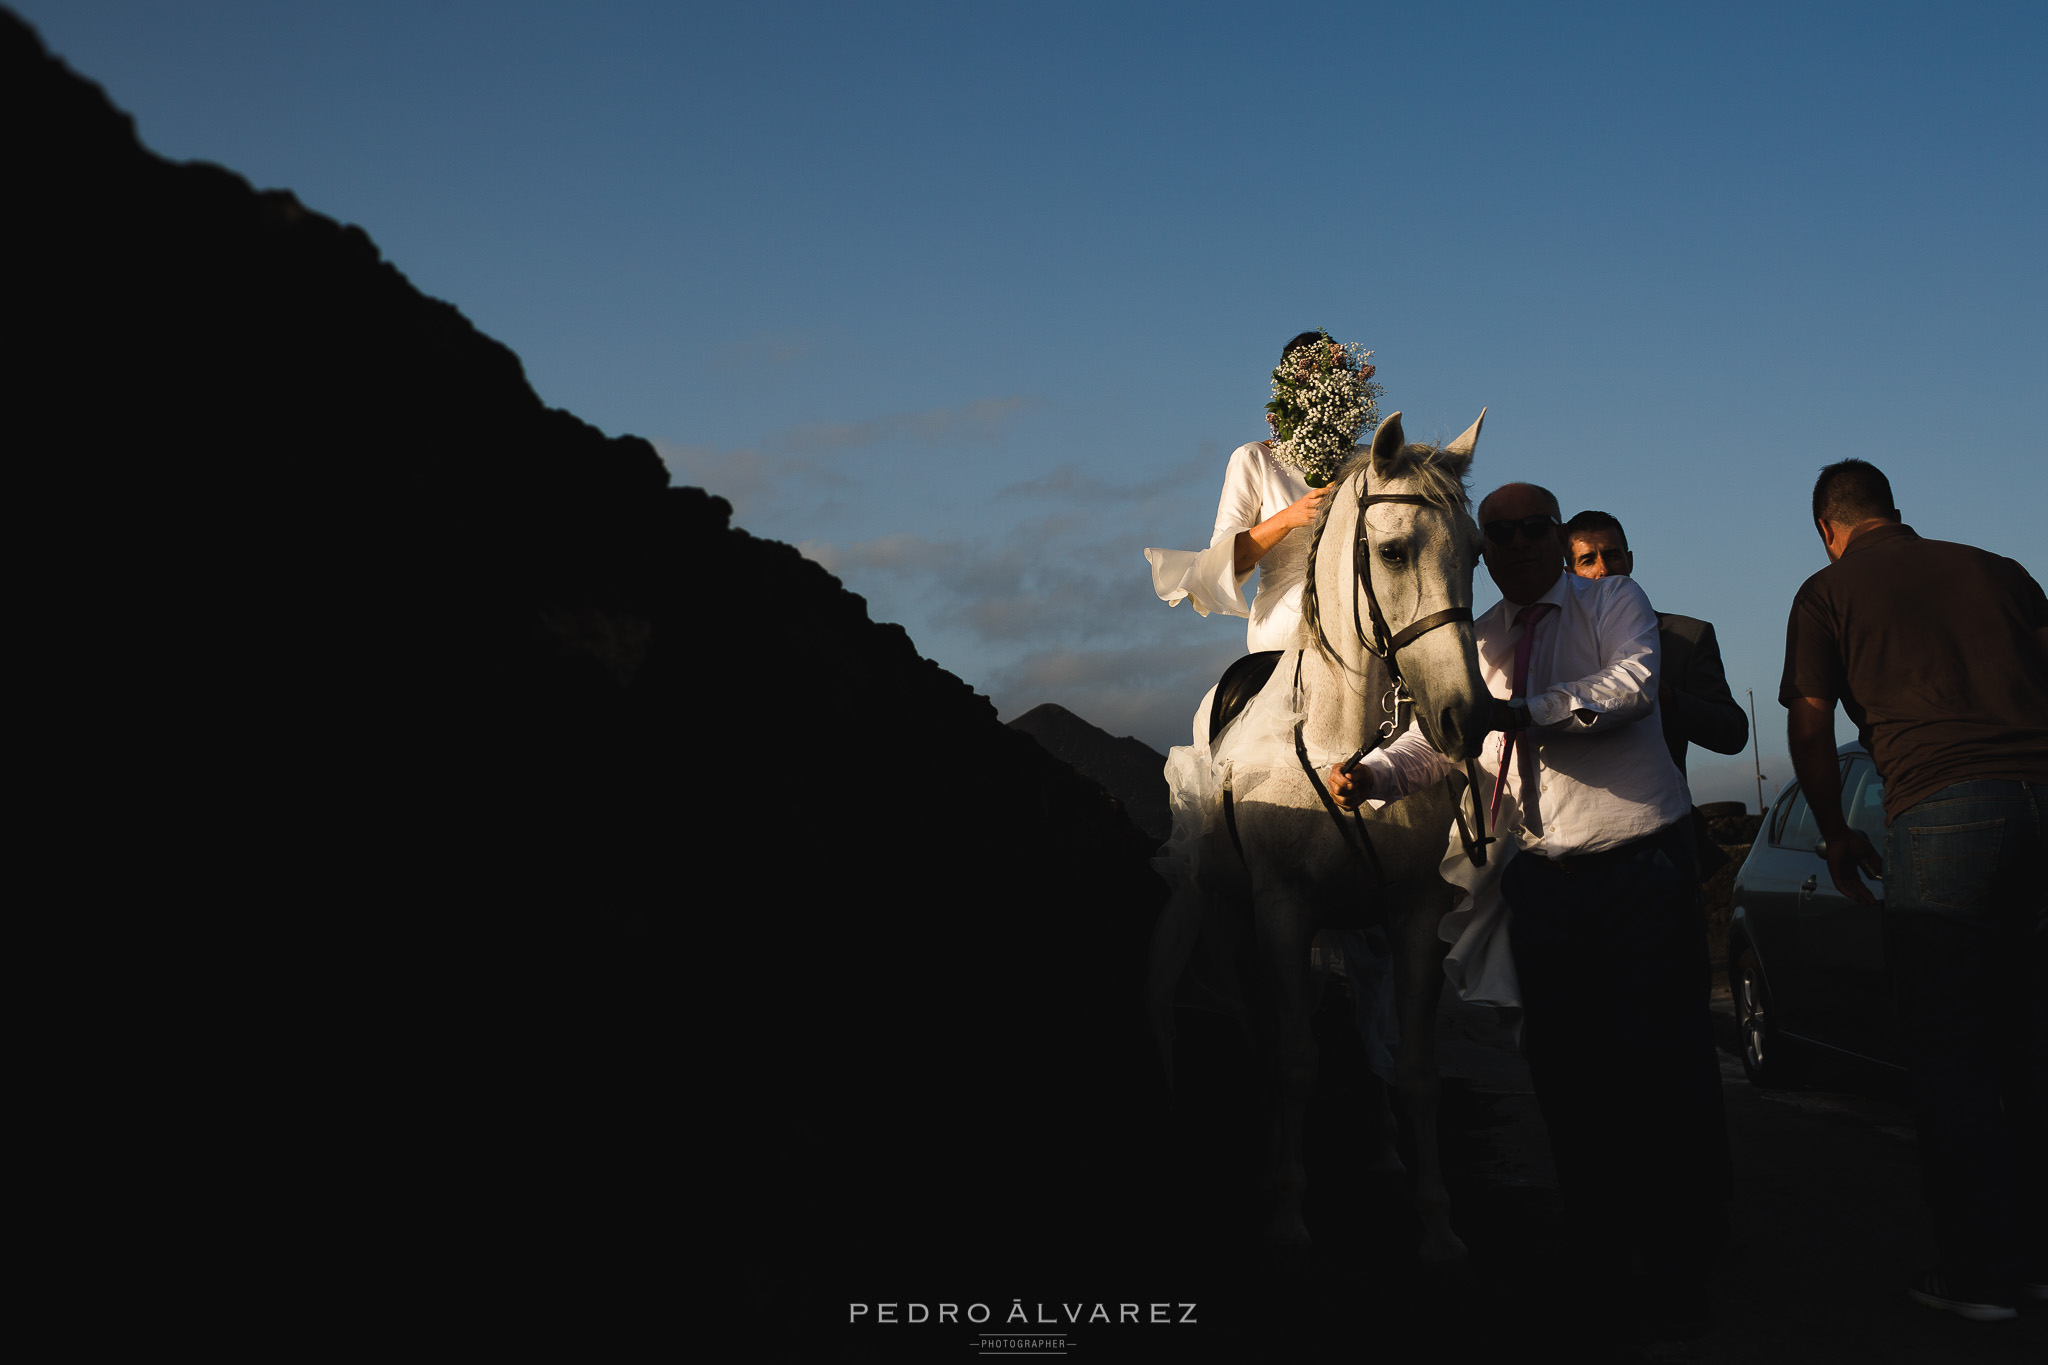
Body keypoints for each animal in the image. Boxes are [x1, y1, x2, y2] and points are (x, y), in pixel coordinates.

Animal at [1155, 411, 1490, 1268]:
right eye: (1394, 550)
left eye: (1476, 552)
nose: (1466, 718)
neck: (1347, 731)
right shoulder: (1280, 910)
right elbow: (1296, 1058)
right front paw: (1285, 1211)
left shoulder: (1411, 914)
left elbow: (1413, 1067)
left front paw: (1437, 1223)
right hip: (1232, 917)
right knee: (1267, 1032)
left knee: (1363, 1019)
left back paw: (1382, 1151)